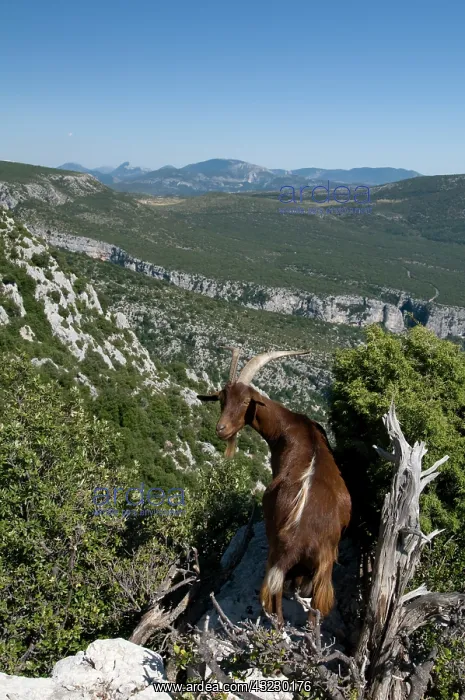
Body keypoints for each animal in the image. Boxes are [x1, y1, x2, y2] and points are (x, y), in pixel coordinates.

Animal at [197, 347, 351, 625]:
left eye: (246, 402)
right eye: (222, 399)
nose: (221, 429)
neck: (291, 426)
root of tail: (299, 537)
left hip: (276, 552)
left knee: (275, 599)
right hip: (324, 567)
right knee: (315, 608)